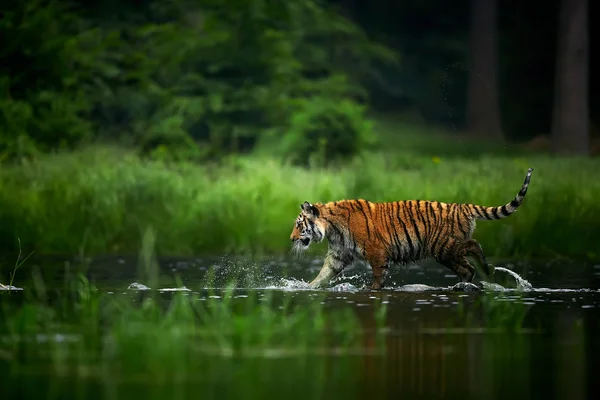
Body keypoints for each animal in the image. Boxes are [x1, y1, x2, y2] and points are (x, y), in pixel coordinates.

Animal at [290, 167, 536, 290]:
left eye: (299, 225)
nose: (291, 239)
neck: (332, 228)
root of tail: (462, 206)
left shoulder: (376, 251)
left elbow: (378, 275)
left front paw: (372, 290)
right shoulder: (338, 255)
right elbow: (323, 274)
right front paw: (307, 287)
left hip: (444, 246)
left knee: (473, 247)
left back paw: (485, 267)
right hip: (447, 252)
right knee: (468, 269)